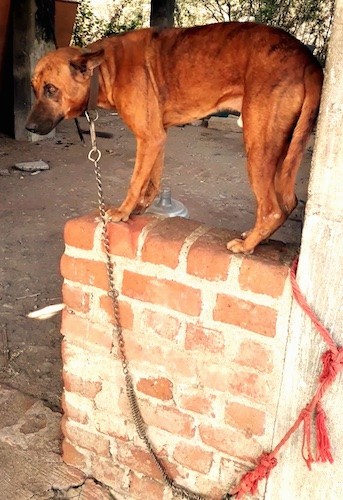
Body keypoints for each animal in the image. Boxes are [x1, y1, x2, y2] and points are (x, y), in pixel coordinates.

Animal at [25, 22, 324, 254]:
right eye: (34, 88)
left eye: (51, 89)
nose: (28, 128)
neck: (106, 67)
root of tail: (308, 59)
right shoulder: (156, 137)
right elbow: (151, 182)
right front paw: (139, 209)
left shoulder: (149, 137)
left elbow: (135, 182)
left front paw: (122, 212)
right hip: (285, 147)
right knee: (287, 202)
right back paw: (257, 237)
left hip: (258, 147)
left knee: (272, 207)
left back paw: (248, 244)